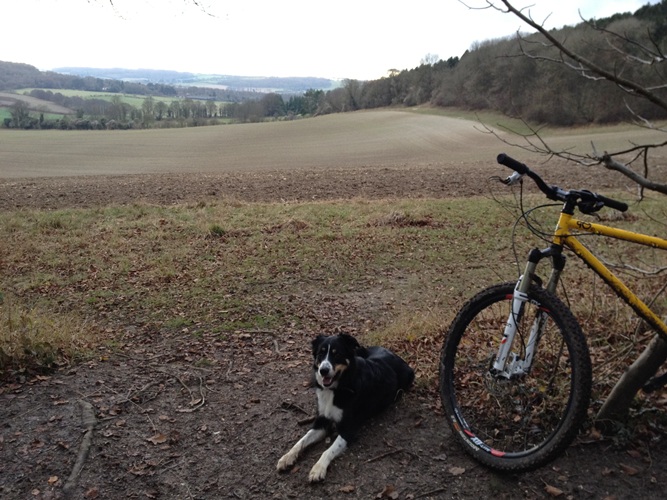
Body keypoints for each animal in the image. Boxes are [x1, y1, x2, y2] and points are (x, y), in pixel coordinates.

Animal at [276, 334, 412, 482]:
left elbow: (328, 450)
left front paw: (318, 468)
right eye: (320, 354)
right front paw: (287, 457)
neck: (338, 387)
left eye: (337, 354)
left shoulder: (348, 429)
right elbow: (301, 440)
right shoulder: (322, 421)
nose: (323, 371)